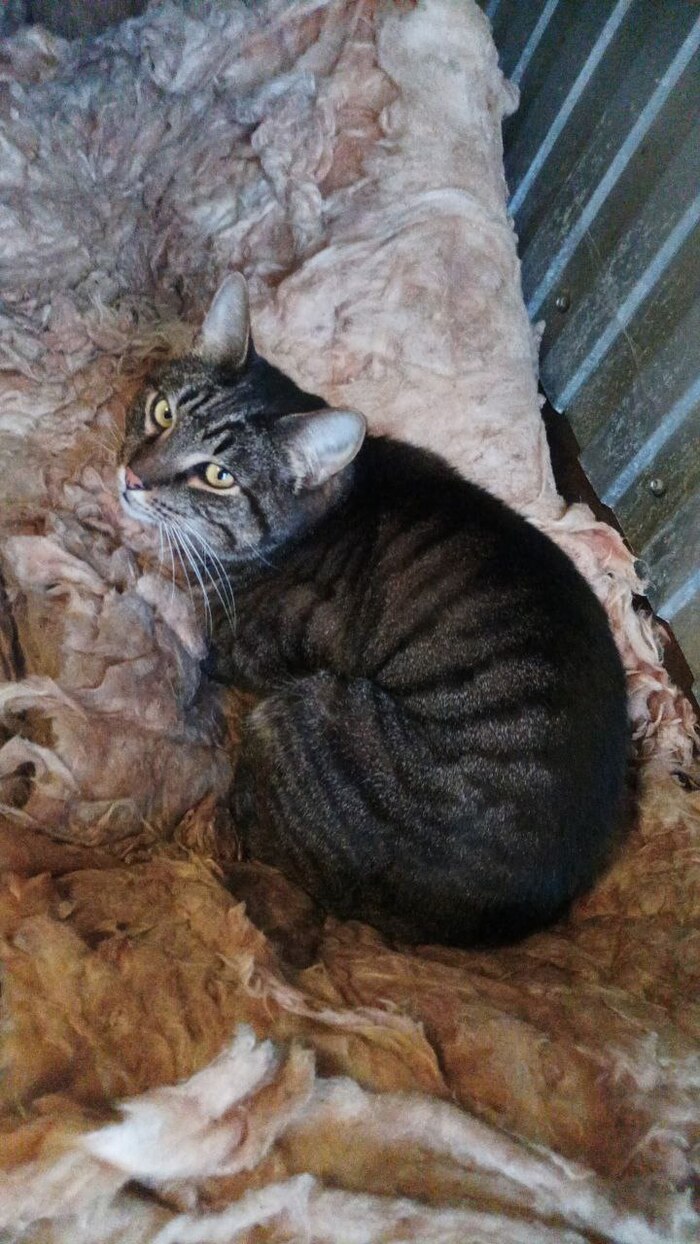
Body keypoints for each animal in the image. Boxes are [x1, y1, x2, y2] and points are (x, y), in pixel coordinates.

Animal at [119, 274, 629, 946]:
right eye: (163, 412)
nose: (130, 478)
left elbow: (190, 610)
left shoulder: (245, 648)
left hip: (304, 717)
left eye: (218, 475)